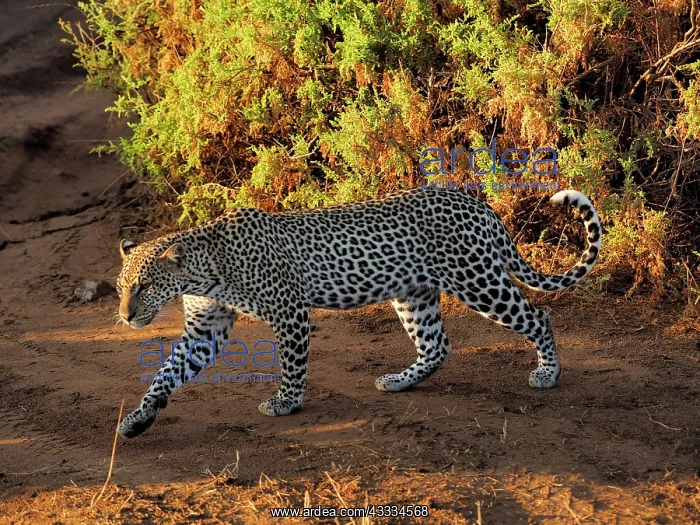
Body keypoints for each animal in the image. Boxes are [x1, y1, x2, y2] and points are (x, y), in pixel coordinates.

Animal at [115, 187, 601, 438]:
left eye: (145, 286)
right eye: (121, 288)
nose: (125, 316)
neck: (203, 273)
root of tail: (478, 203)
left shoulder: (290, 311)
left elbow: (292, 364)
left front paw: (286, 402)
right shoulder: (204, 329)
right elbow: (165, 375)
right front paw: (139, 419)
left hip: (477, 281)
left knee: (538, 316)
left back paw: (548, 373)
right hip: (413, 294)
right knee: (436, 345)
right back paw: (399, 382)